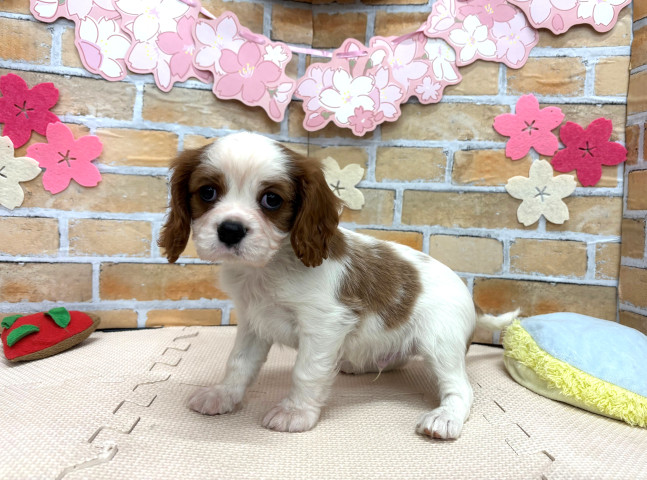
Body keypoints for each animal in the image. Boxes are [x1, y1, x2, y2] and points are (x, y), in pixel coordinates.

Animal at [159, 132, 516, 439]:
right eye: (207, 192)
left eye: (272, 200)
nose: (230, 230)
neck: (269, 267)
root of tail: (471, 297)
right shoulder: (252, 322)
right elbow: (239, 363)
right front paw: (222, 395)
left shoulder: (324, 326)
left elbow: (306, 371)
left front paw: (295, 413)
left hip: (440, 341)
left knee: (460, 388)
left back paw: (445, 417)